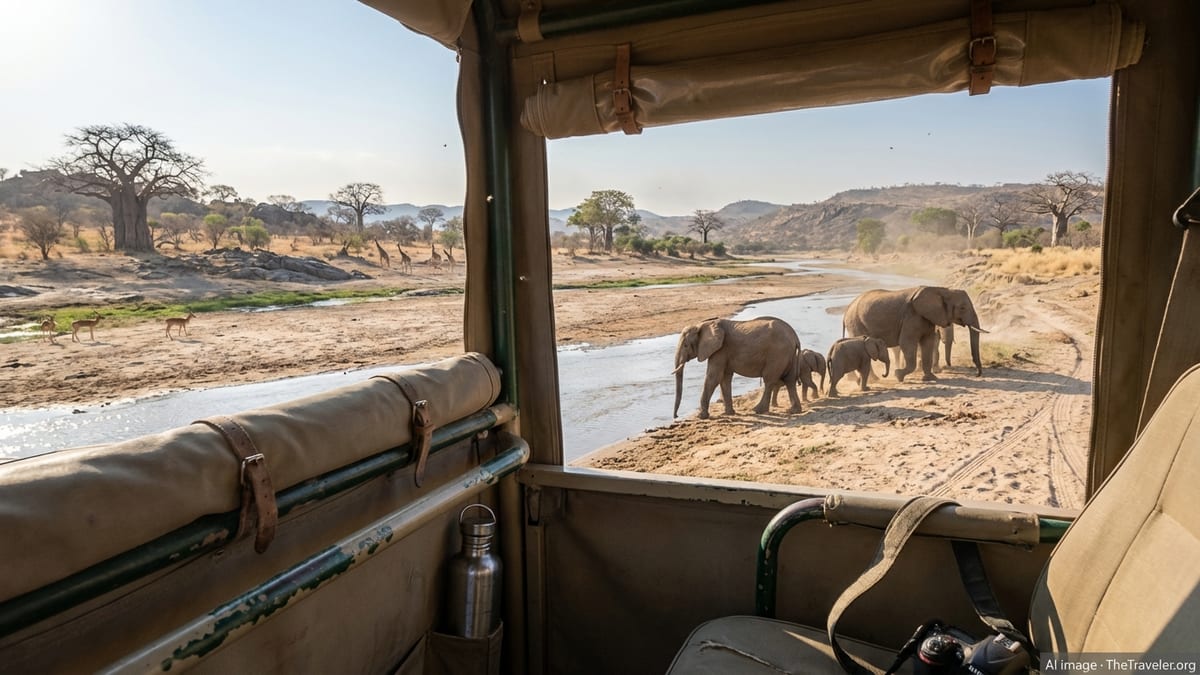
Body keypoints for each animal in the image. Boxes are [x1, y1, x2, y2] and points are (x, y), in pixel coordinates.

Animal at [673, 316, 803, 419]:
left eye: (685, 345)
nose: (676, 416)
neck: (702, 324)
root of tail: (795, 337)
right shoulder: (723, 352)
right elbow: (724, 379)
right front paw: (728, 414)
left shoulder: (720, 350)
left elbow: (713, 378)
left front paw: (701, 417)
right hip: (788, 355)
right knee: (790, 380)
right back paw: (793, 411)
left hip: (777, 354)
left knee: (769, 380)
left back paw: (757, 410)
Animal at [843, 286, 985, 382]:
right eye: (962, 308)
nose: (977, 374)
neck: (941, 290)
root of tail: (847, 310)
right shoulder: (911, 316)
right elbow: (907, 343)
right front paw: (898, 375)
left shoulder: (927, 318)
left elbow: (927, 343)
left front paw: (931, 378)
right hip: (856, 324)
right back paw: (875, 380)